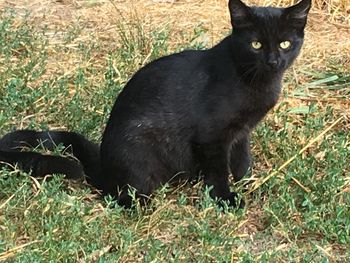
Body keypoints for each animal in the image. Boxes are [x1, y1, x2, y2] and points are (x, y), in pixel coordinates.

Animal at [0, 0, 312, 209]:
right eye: (256, 44)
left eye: (284, 44)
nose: (273, 61)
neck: (254, 81)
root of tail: (105, 169)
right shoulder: (211, 137)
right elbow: (219, 171)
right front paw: (226, 199)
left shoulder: (241, 132)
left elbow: (242, 161)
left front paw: (250, 184)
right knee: (122, 197)